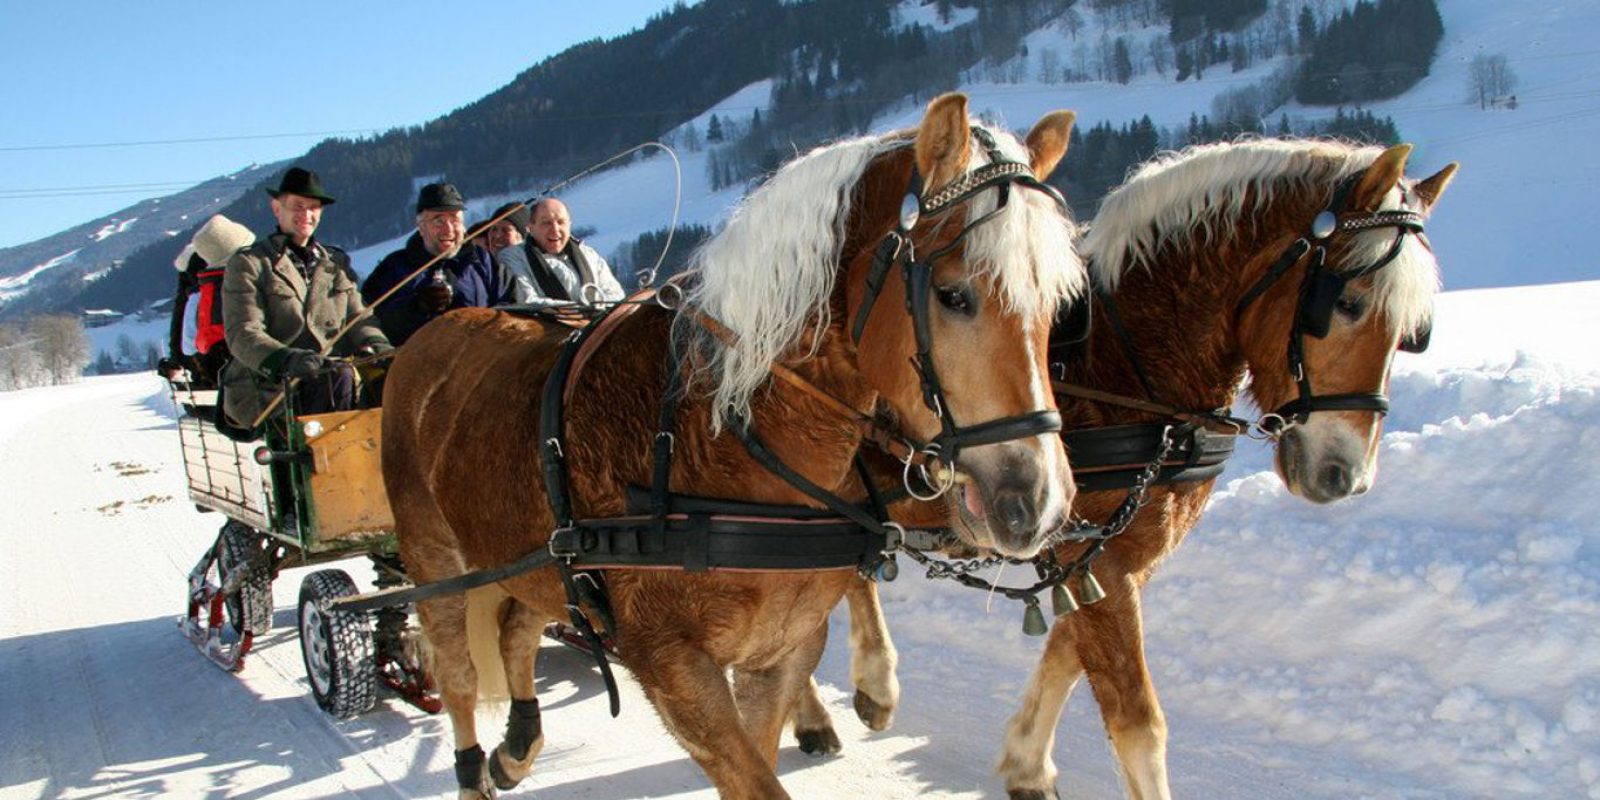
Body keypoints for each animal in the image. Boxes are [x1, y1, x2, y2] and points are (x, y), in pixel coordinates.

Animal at [384, 95, 1088, 800]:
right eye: (951, 294)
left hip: (538, 558)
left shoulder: (780, 651)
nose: (1038, 502)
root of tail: (435, 329)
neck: (720, 437)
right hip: (436, 559)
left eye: (1059, 305)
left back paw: (518, 747)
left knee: (517, 627)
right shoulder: (671, 663)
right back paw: (474, 767)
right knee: (457, 673)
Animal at [793, 137, 1459, 800]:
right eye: (1346, 303)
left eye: (1414, 333)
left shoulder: (1106, 553)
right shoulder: (1096, 555)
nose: (1345, 474)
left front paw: (1025, 762)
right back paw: (838, 698)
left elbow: (1068, 652)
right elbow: (1136, 717)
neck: (1122, 364)